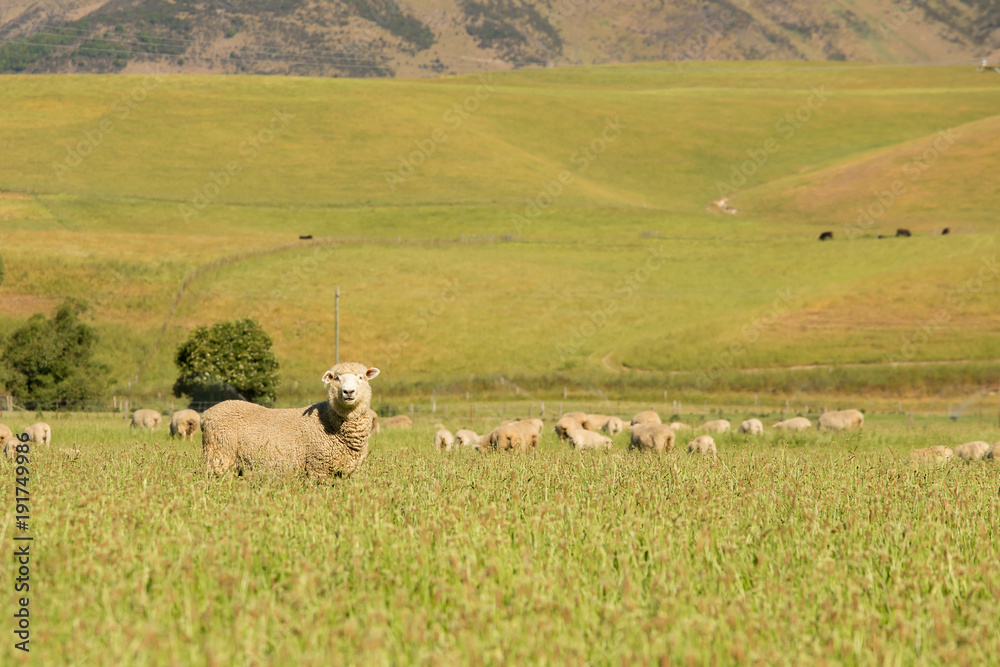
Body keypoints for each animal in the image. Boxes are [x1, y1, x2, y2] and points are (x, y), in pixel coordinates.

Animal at [201, 362, 380, 480]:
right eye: (336, 378)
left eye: (361, 377)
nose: (348, 392)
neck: (328, 420)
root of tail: (206, 415)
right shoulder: (318, 467)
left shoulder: (348, 472)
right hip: (220, 455)